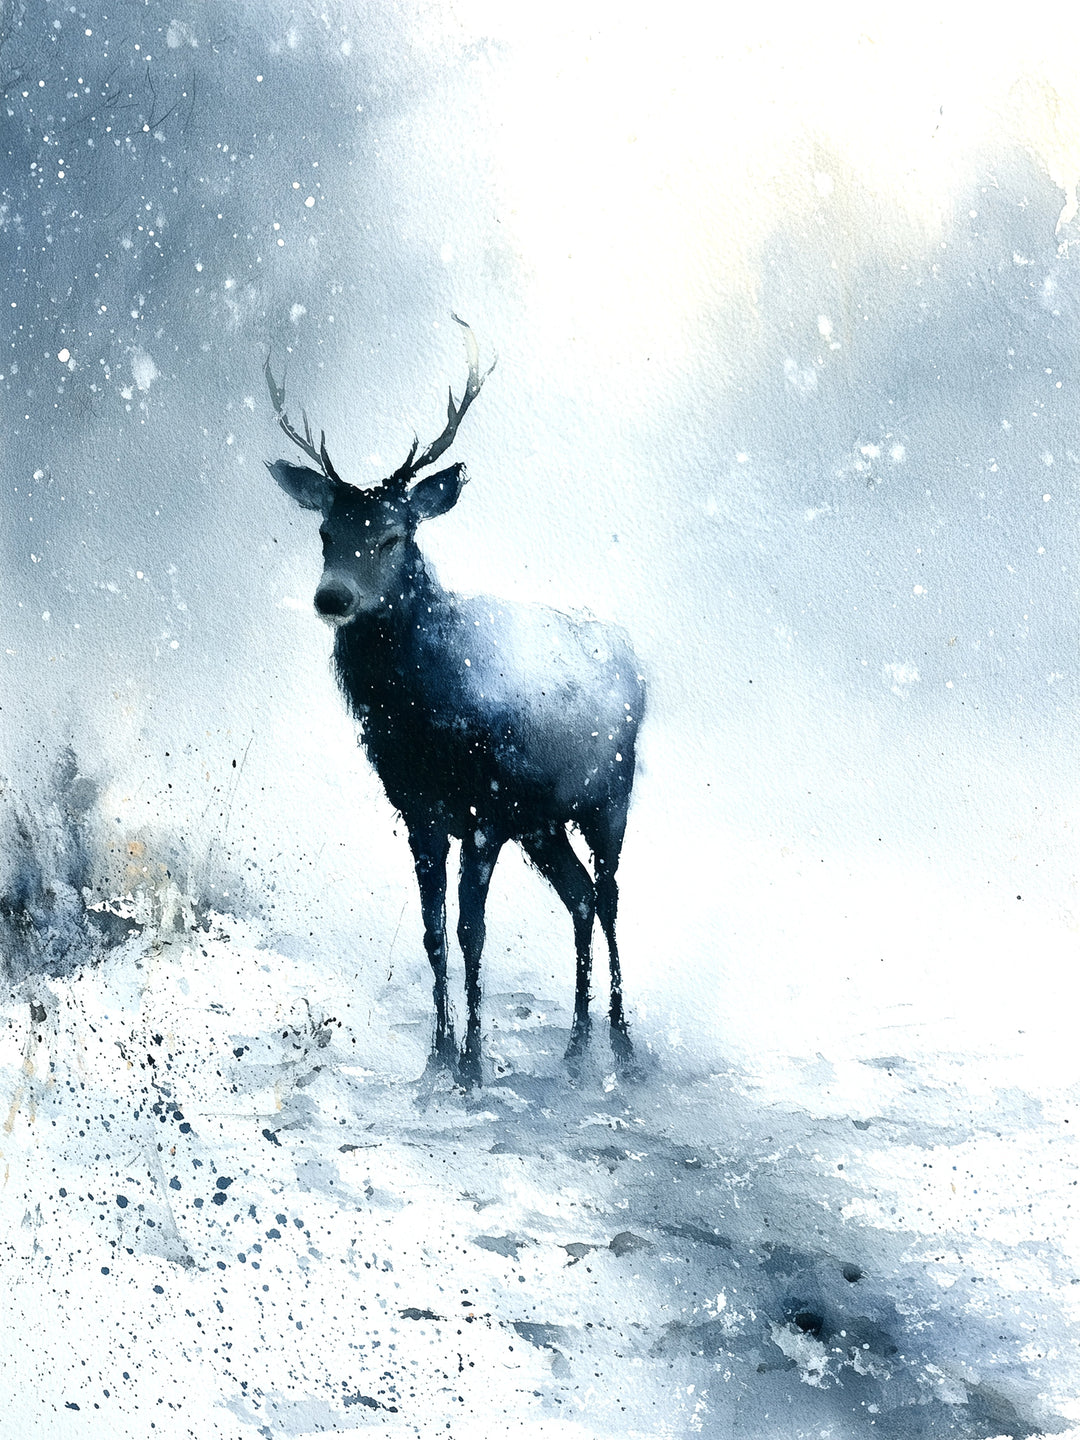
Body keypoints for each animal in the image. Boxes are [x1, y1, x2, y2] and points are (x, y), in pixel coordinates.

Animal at [265, 317, 645, 1088]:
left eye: (393, 533)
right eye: (325, 533)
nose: (331, 598)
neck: (422, 721)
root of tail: (640, 665)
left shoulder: (485, 809)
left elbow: (473, 930)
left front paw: (471, 1063)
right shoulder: (419, 810)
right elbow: (433, 932)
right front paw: (435, 1058)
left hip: (610, 795)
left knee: (613, 897)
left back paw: (621, 1043)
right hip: (543, 823)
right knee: (581, 897)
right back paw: (575, 1045)